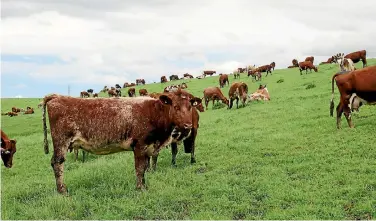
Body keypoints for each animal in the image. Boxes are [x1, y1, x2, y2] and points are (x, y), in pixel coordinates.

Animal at [41, 89, 203, 193]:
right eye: (175, 106)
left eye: (190, 106)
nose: (188, 125)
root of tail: (56, 97)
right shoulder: (139, 146)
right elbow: (139, 168)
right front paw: (140, 188)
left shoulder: (148, 147)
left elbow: (145, 167)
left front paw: (144, 186)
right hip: (61, 142)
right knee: (57, 163)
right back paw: (62, 190)